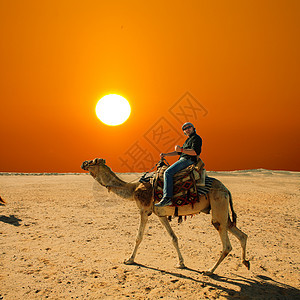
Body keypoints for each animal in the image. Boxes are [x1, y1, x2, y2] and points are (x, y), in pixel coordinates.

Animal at [81, 158, 250, 276]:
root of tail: (226, 189)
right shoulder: (160, 214)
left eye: (93, 161)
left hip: (218, 204)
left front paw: (129, 259)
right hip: (221, 210)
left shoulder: (144, 210)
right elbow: (173, 237)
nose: (83, 163)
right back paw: (245, 262)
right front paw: (181, 263)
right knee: (240, 234)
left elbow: (138, 237)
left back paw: (209, 271)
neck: (133, 188)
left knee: (226, 243)